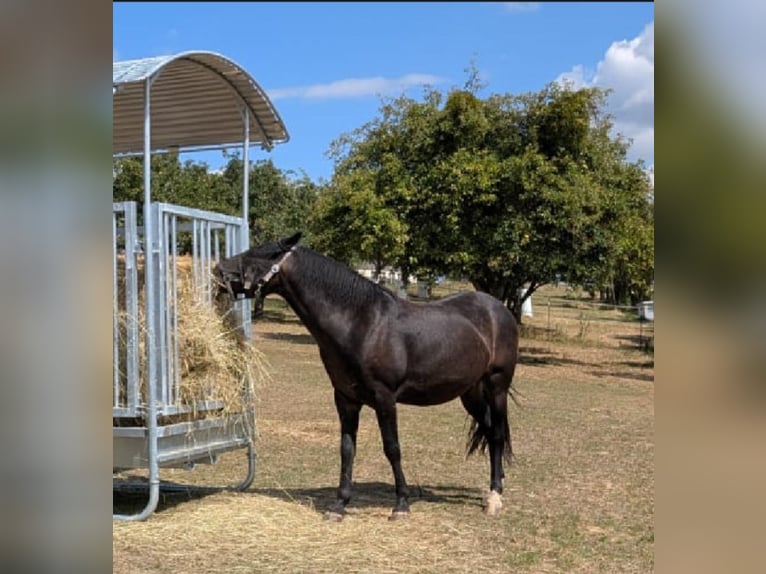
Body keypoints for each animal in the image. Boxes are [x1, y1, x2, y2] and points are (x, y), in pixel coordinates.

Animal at [214, 232, 520, 521]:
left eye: (260, 253)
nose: (218, 270)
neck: (361, 323)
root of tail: (499, 308)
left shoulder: (385, 398)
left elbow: (392, 448)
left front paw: (401, 504)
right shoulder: (345, 398)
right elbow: (347, 449)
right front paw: (339, 505)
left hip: (496, 386)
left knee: (497, 434)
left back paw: (495, 497)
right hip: (470, 393)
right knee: (490, 431)